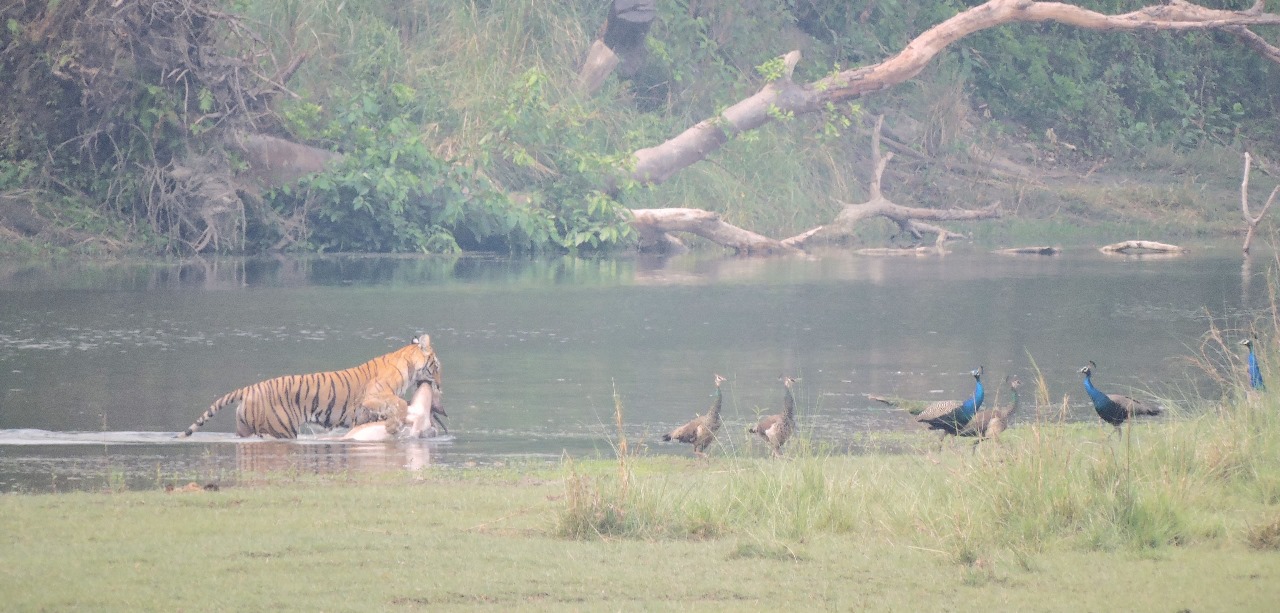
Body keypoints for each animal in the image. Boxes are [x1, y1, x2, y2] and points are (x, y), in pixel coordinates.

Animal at [178, 334, 443, 439]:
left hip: (245, 428)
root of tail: (249, 388)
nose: (439, 386)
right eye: (437, 366)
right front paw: (392, 426)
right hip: (281, 428)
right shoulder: (372, 396)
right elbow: (399, 404)